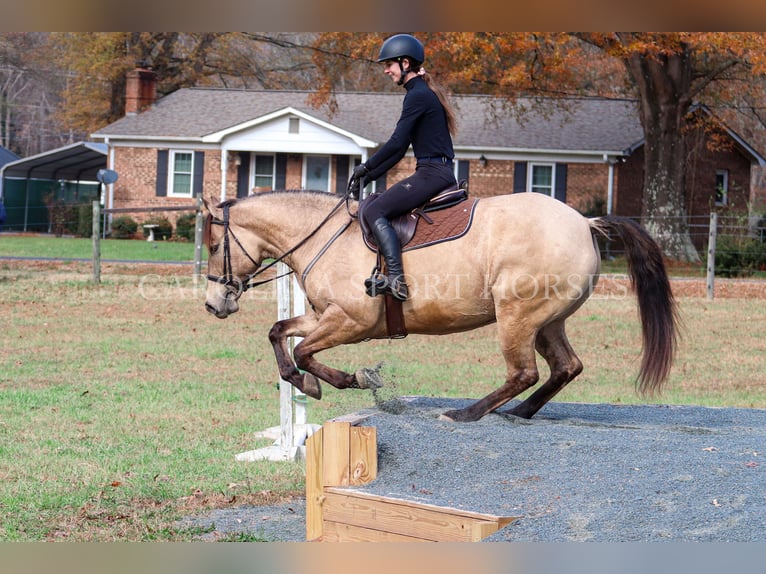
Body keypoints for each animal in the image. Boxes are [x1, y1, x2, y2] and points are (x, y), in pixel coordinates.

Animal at [202, 192, 680, 424]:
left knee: (523, 372)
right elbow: (280, 332)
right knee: (565, 366)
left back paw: (467, 413)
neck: (324, 235)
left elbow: (303, 350)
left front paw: (350, 379)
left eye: (210, 245)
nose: (212, 304)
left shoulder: (351, 321)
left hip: (517, 316)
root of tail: (584, 222)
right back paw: (520, 412)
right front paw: (306, 382)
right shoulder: (324, 316)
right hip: (548, 321)